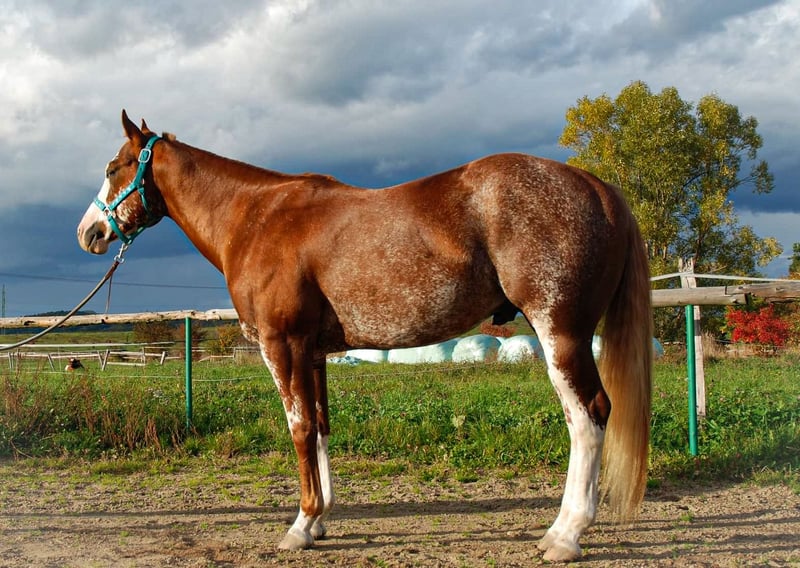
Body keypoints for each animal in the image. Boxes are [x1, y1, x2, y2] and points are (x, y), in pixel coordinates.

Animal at [77, 110, 652, 562]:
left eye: (111, 168)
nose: (89, 233)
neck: (256, 217)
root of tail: (597, 186)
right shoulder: (312, 353)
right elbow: (321, 428)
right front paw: (319, 520)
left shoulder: (281, 345)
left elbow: (299, 429)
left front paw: (299, 525)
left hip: (561, 333)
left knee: (588, 418)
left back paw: (565, 535)